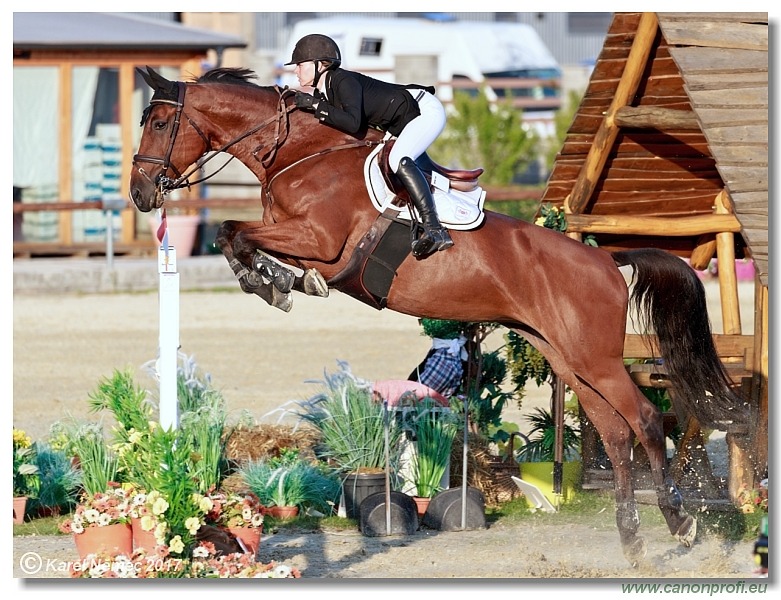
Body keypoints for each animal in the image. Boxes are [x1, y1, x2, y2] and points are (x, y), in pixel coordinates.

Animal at [131, 67, 748, 568]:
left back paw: (680, 524)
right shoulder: (301, 241)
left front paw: (273, 284)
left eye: (159, 123)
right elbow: (235, 234)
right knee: (617, 434)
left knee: (645, 420)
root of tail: (603, 257)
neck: (301, 155)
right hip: (568, 358)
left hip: (595, 358)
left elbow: (236, 232)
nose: (140, 193)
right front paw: (274, 281)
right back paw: (633, 540)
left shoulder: (318, 241)